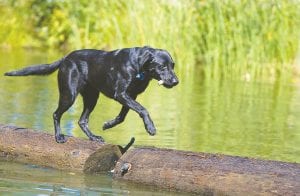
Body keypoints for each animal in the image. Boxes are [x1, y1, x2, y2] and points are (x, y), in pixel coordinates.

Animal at [4, 46, 178, 143]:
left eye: (173, 65)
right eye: (162, 67)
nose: (176, 81)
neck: (138, 67)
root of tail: (65, 58)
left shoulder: (130, 96)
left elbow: (122, 117)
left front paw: (108, 124)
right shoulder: (121, 94)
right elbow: (143, 109)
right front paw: (151, 128)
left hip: (92, 97)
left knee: (82, 121)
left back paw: (94, 137)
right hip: (69, 94)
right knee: (56, 114)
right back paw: (59, 137)